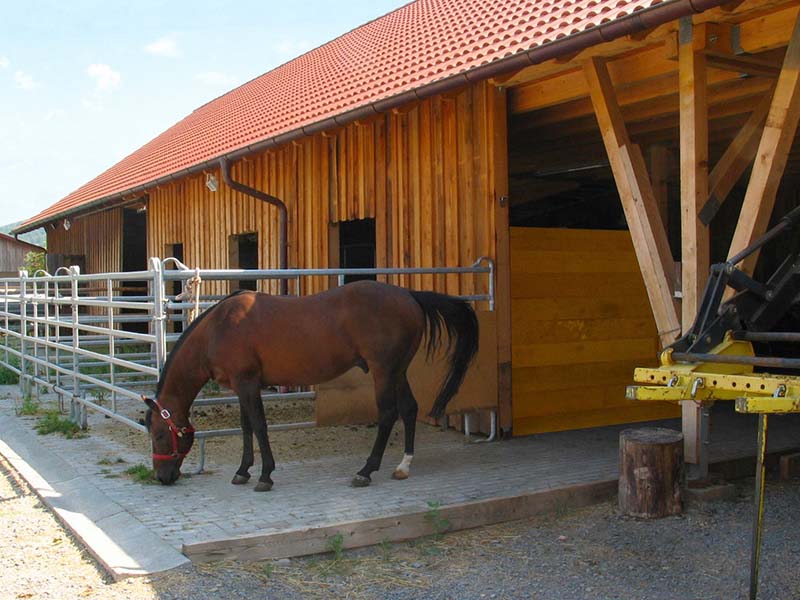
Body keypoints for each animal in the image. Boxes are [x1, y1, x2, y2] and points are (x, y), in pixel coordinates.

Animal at [141, 280, 478, 488]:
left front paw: (265, 475)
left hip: (383, 370)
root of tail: (409, 295)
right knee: (409, 409)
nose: (162, 477)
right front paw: (243, 471)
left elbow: (259, 425)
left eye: (158, 435)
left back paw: (366, 471)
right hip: (398, 370)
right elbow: (246, 427)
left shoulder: (248, 383)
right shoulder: (240, 385)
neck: (219, 328)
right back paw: (403, 466)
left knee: (387, 414)